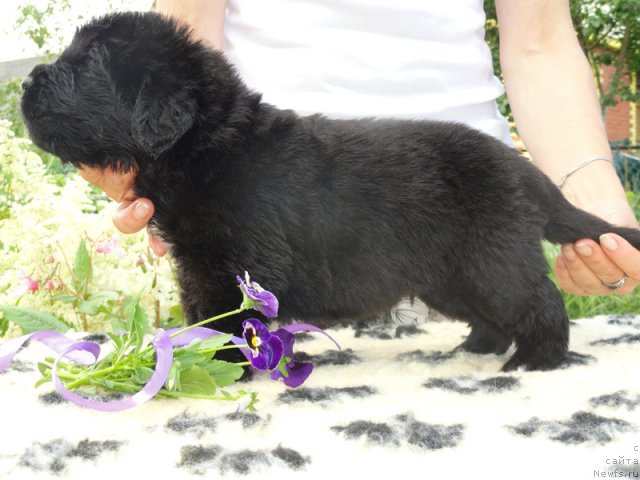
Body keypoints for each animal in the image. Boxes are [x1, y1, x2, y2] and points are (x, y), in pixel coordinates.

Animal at [20, 11, 640, 372]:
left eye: (89, 65)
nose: (25, 81)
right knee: (493, 313)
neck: (208, 143)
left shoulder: (238, 266)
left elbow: (229, 320)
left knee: (541, 303)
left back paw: (537, 361)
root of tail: (521, 167)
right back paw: (476, 348)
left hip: (491, 261)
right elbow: (201, 315)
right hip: (449, 274)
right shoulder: (197, 264)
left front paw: (222, 365)